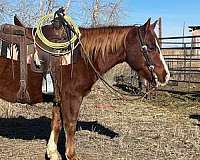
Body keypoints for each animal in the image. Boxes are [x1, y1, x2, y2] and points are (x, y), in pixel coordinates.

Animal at [8, 18, 169, 159]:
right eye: (151, 47)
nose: (165, 75)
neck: (80, 56)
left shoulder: (58, 98)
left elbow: (56, 123)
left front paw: (52, 153)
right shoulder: (72, 98)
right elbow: (70, 125)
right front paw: (71, 155)